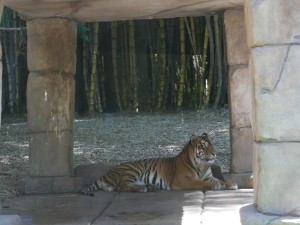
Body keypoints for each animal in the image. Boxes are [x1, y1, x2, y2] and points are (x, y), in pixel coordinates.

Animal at [81, 133, 238, 196]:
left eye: (212, 144)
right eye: (205, 145)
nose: (215, 154)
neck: (202, 165)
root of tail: (107, 173)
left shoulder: (209, 176)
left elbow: (220, 179)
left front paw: (231, 184)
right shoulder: (182, 181)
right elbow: (200, 183)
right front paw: (217, 186)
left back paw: (151, 187)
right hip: (133, 170)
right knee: (123, 187)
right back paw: (144, 188)